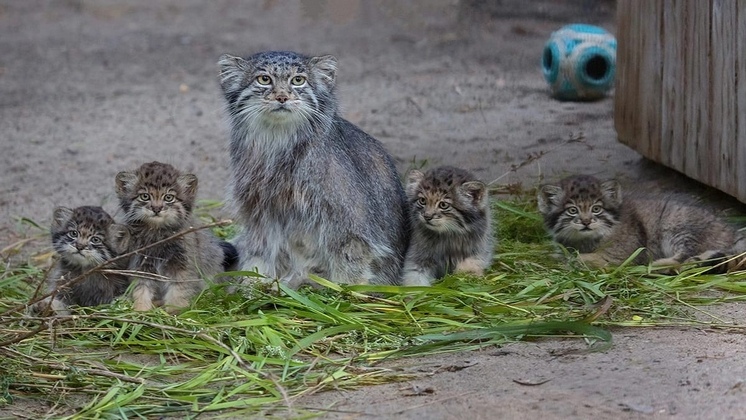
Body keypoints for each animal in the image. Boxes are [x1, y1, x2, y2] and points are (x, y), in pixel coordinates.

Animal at [115, 161, 232, 312]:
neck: (157, 234)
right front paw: (141, 309)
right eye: (145, 196)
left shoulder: (182, 264)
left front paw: (176, 310)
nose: (156, 208)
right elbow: (141, 288)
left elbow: (179, 289)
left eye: (168, 197)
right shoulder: (140, 263)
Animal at [219, 49, 406, 288]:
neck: (277, 143)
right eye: (264, 79)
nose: (282, 97)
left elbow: (350, 258)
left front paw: (347, 290)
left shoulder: (349, 221)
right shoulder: (259, 209)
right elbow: (261, 250)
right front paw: (252, 283)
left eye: (298, 80)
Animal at [536, 174, 740, 270]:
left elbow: (587, 258)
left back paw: (659, 265)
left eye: (596, 209)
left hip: (678, 228)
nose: (586, 222)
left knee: (684, 256)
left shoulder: (621, 254)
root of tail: (730, 231)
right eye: (572, 210)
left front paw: (570, 259)